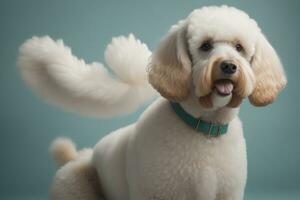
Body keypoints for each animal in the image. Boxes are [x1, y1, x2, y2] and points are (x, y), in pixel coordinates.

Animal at [18, 5, 286, 199]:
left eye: (239, 47)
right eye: (205, 46)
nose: (229, 66)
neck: (203, 128)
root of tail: (79, 156)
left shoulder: (227, 193)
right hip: (73, 185)